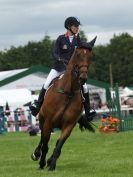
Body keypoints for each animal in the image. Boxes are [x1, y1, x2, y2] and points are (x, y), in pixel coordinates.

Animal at [31, 36, 97, 171]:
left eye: (90, 56)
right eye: (77, 54)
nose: (83, 78)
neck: (68, 92)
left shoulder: (69, 125)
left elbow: (59, 145)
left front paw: (51, 164)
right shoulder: (48, 122)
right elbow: (45, 144)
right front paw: (42, 163)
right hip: (42, 121)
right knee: (42, 138)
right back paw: (37, 154)